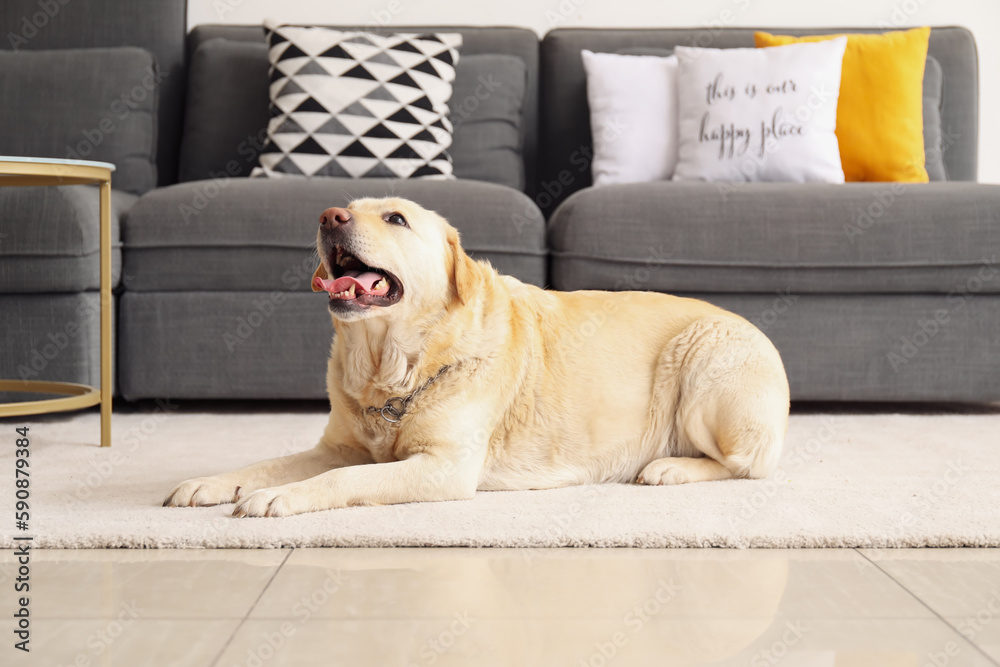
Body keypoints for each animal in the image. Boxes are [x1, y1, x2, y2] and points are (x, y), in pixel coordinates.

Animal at [164, 196, 788, 520]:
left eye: (395, 219)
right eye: (349, 208)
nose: (328, 216)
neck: (394, 368)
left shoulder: (443, 467)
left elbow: (342, 481)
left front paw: (281, 497)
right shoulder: (338, 446)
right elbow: (269, 463)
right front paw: (213, 483)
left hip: (704, 361)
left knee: (746, 465)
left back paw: (668, 467)